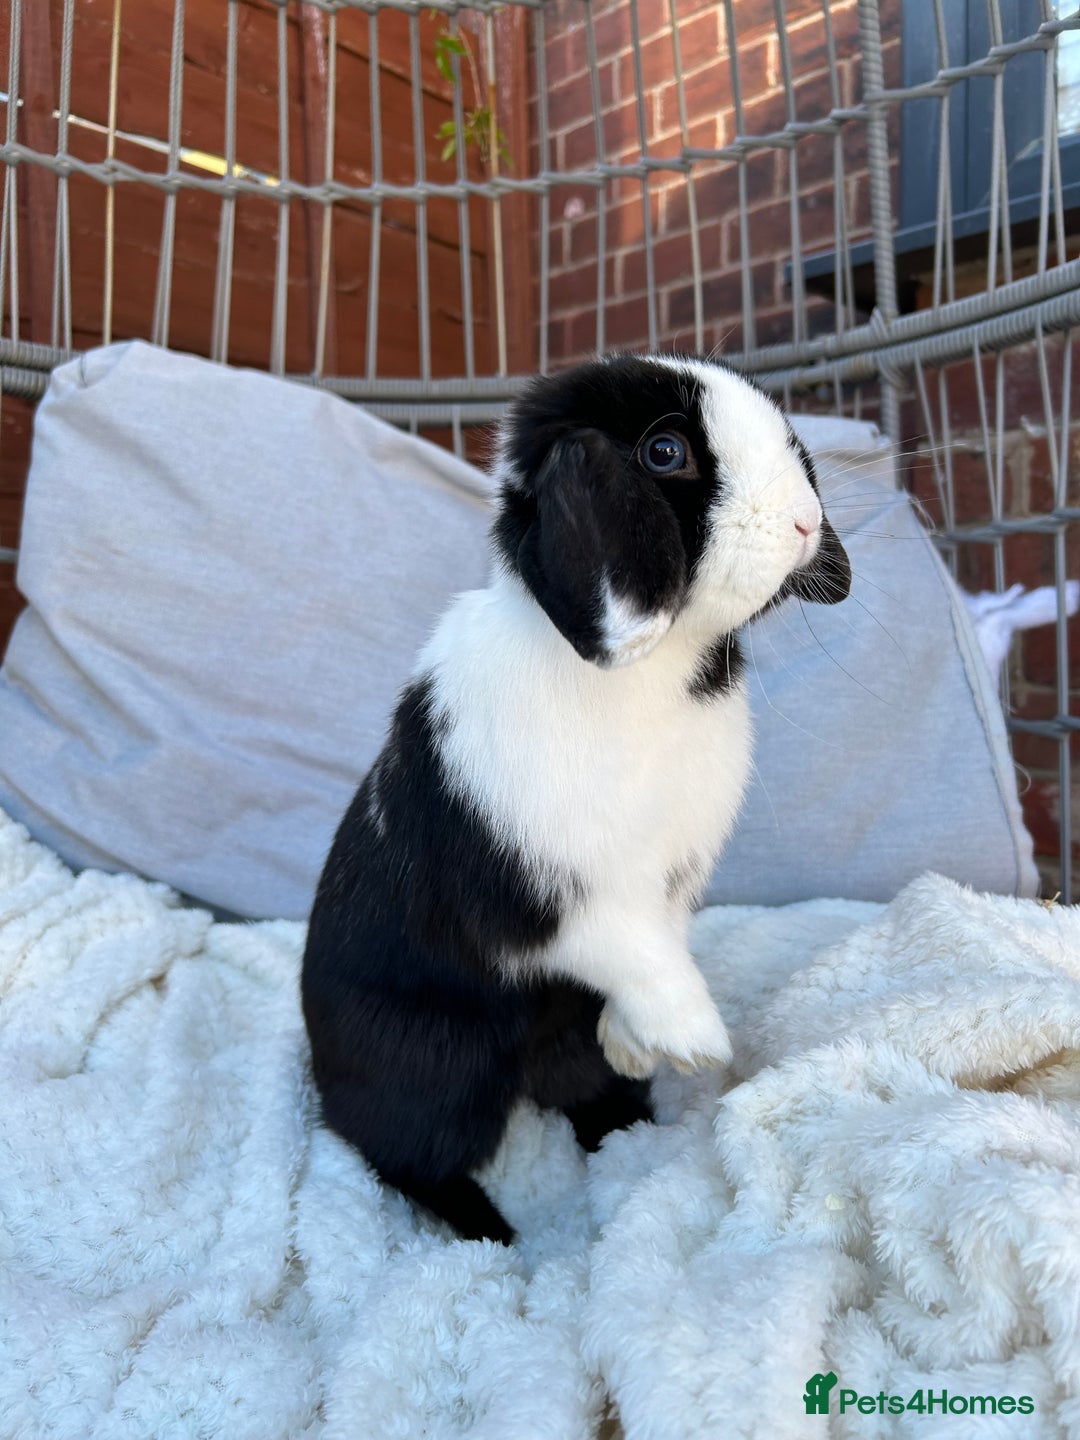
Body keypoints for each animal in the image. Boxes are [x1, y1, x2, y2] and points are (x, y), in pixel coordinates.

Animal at [301, 352, 851, 1244]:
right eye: (665, 452)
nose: (806, 522)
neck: (655, 671)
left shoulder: (673, 879)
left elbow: (657, 945)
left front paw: (641, 1043)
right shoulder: (555, 899)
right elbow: (633, 949)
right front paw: (697, 1040)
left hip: (552, 1062)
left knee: (588, 1101)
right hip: (432, 1076)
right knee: (406, 1160)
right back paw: (494, 1238)